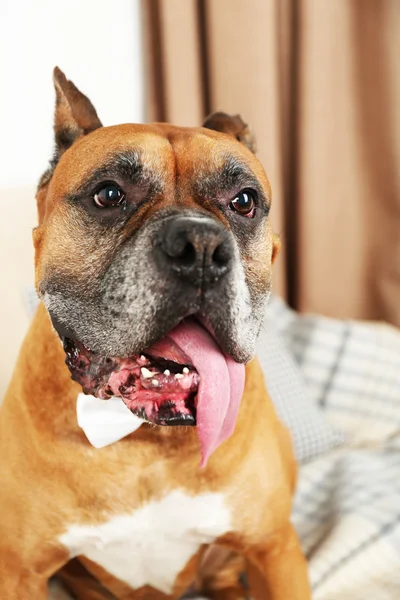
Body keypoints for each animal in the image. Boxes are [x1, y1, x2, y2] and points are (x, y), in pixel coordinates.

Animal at [0, 70, 310, 600]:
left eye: (244, 201)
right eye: (108, 194)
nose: (201, 245)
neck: (144, 438)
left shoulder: (275, 549)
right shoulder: (19, 571)